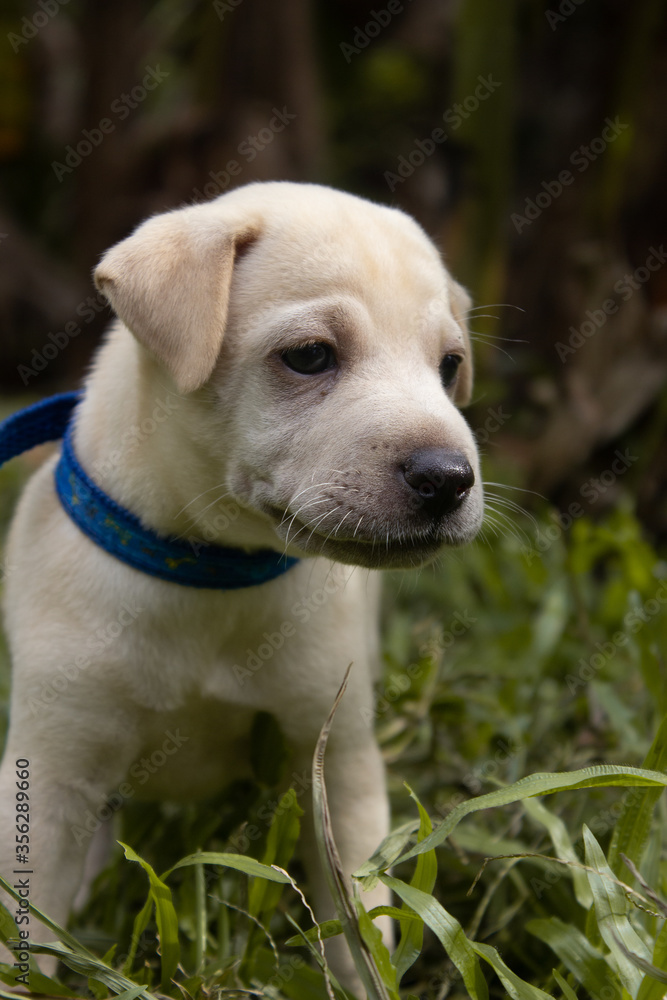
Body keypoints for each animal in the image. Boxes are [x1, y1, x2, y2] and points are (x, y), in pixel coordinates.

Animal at [0, 182, 482, 992]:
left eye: (448, 366)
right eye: (309, 356)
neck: (214, 569)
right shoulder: (54, 774)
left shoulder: (334, 762)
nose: (448, 478)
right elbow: (24, 929)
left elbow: (359, 922)